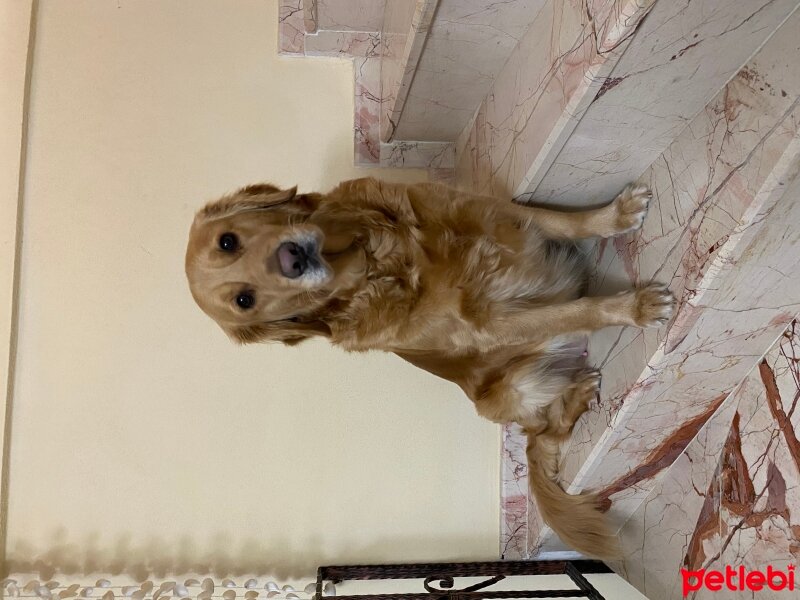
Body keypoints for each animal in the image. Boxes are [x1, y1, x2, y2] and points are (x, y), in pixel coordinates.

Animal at [184, 177, 672, 556]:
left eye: (228, 240)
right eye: (244, 300)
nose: (291, 259)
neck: (379, 261)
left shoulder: (482, 207)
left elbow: (558, 220)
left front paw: (614, 216)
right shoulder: (494, 322)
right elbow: (576, 312)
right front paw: (633, 307)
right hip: (505, 391)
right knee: (546, 431)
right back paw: (577, 395)